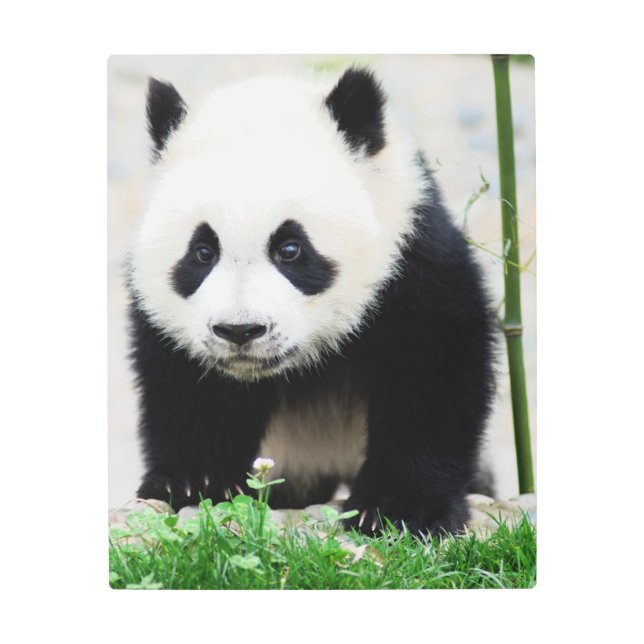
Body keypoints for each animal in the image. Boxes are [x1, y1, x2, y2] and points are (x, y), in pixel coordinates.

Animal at [128, 67, 496, 536]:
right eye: (203, 252)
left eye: (290, 248)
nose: (240, 330)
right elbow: (186, 385)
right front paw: (192, 481)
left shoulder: (412, 255)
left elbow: (431, 371)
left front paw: (399, 509)